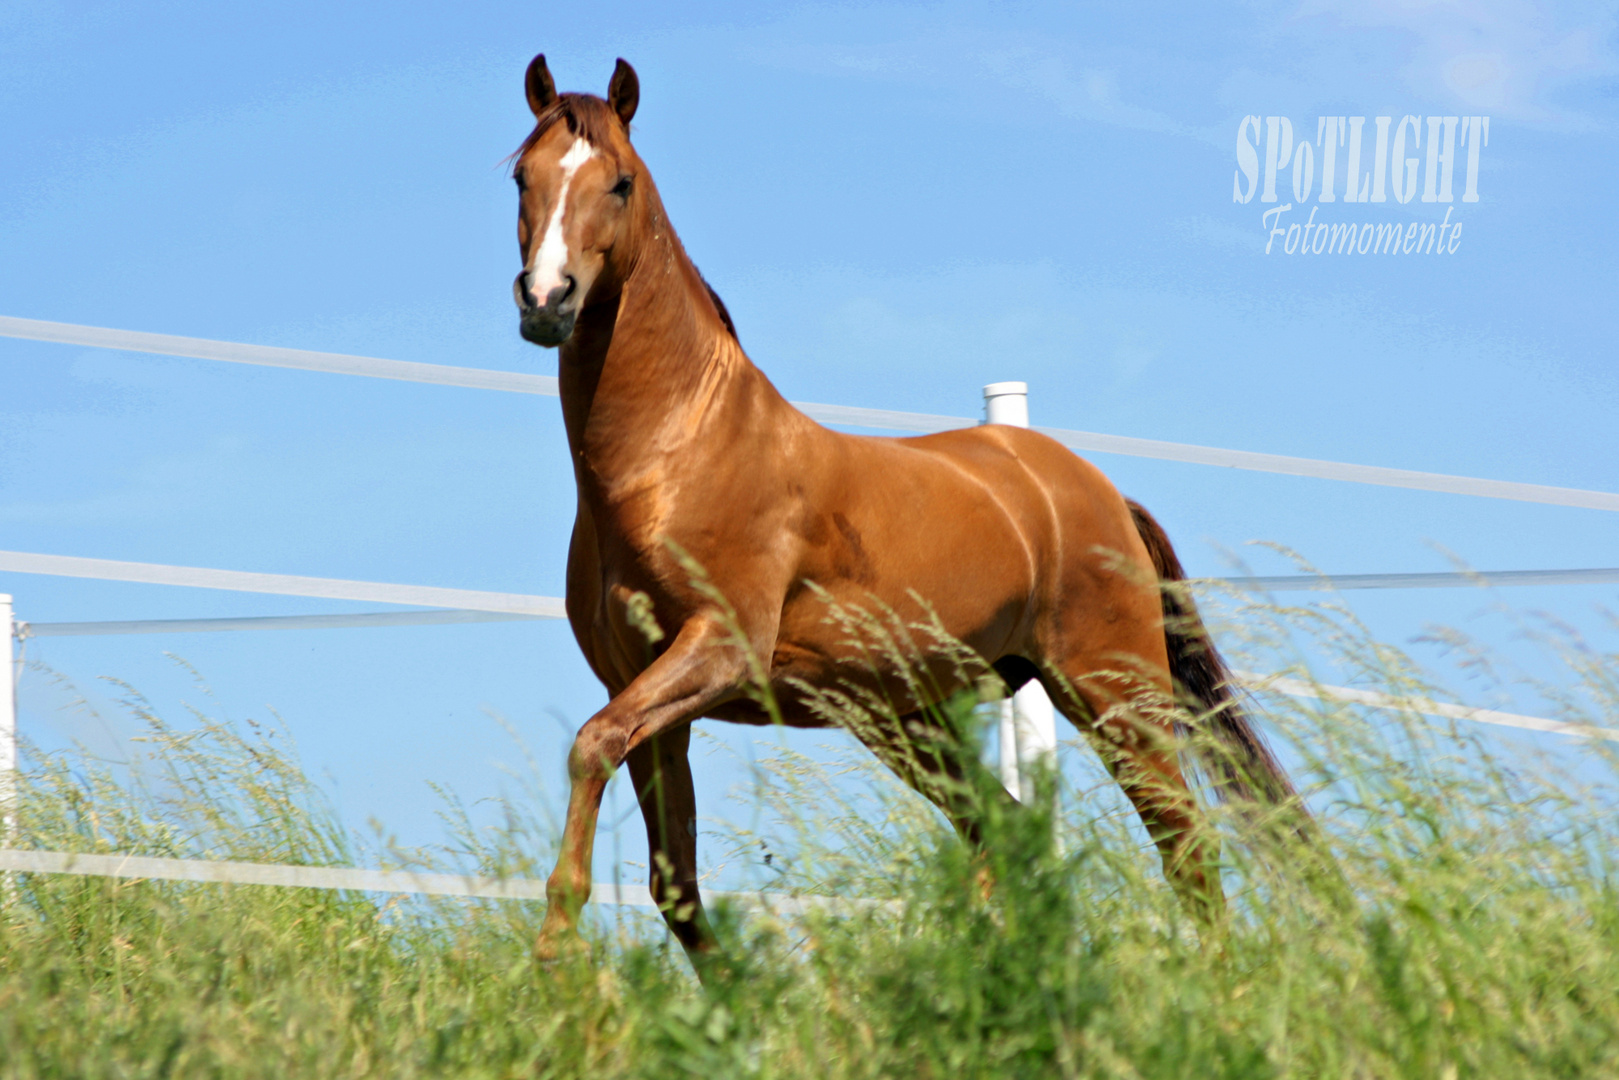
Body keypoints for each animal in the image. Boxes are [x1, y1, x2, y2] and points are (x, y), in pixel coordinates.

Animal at [511, 55, 1295, 958]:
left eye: (621, 182)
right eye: (520, 176)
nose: (546, 300)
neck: (676, 459)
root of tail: (1099, 492)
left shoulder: (718, 651)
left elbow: (590, 745)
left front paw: (555, 955)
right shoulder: (644, 688)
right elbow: (672, 881)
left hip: (1111, 696)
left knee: (1185, 847)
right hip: (910, 719)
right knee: (1006, 832)